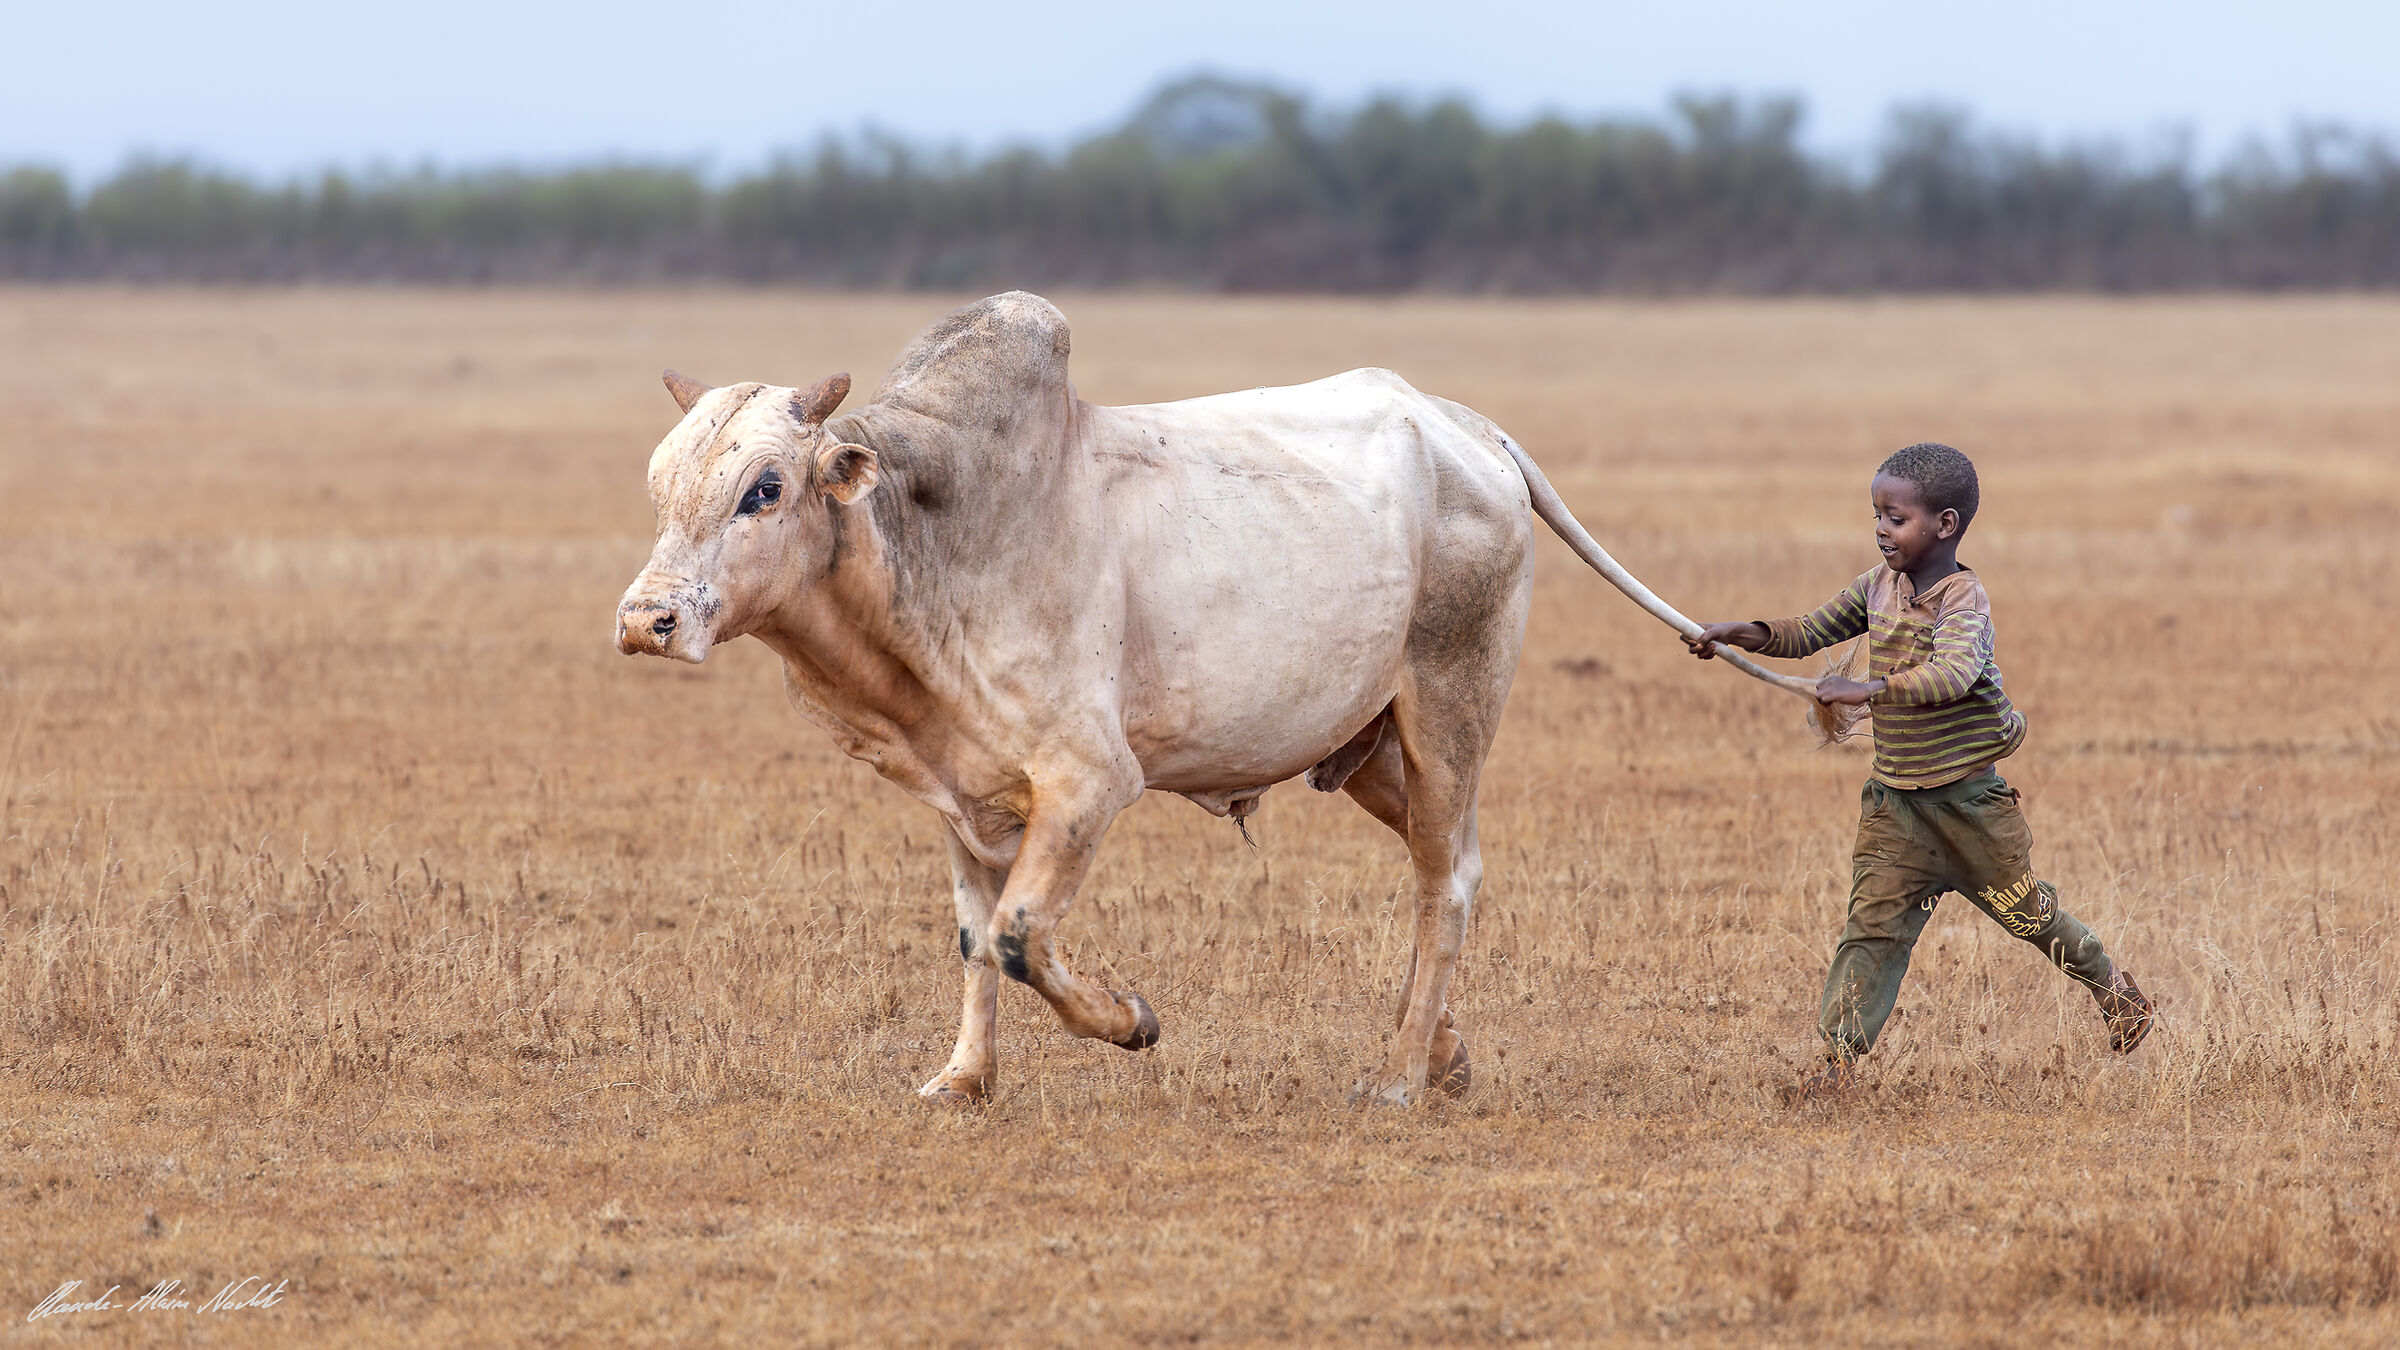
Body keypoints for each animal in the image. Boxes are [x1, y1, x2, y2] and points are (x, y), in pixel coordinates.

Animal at [614, 292, 1814, 1107]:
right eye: (661, 485)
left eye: (764, 488)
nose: (646, 620)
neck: (929, 537)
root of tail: (1459, 425)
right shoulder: (965, 799)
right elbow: (975, 940)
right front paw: (962, 1081)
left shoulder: (1092, 784)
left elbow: (1020, 936)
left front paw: (1128, 1022)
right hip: (1370, 750)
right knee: (1444, 869)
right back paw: (1445, 1052)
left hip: (1449, 710)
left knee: (1450, 882)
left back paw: (1400, 1076)